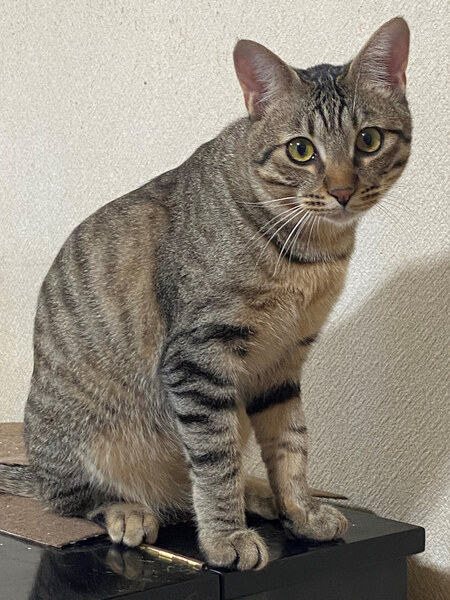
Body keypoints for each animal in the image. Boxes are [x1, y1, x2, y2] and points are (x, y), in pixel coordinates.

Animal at [0, 17, 411, 570]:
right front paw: (225, 538)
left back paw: (258, 492)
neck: (310, 253)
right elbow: (215, 462)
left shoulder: (283, 362)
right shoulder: (197, 358)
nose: (343, 191)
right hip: (77, 436)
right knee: (72, 499)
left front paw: (300, 510)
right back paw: (128, 510)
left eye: (368, 139)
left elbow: (291, 446)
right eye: (301, 150)